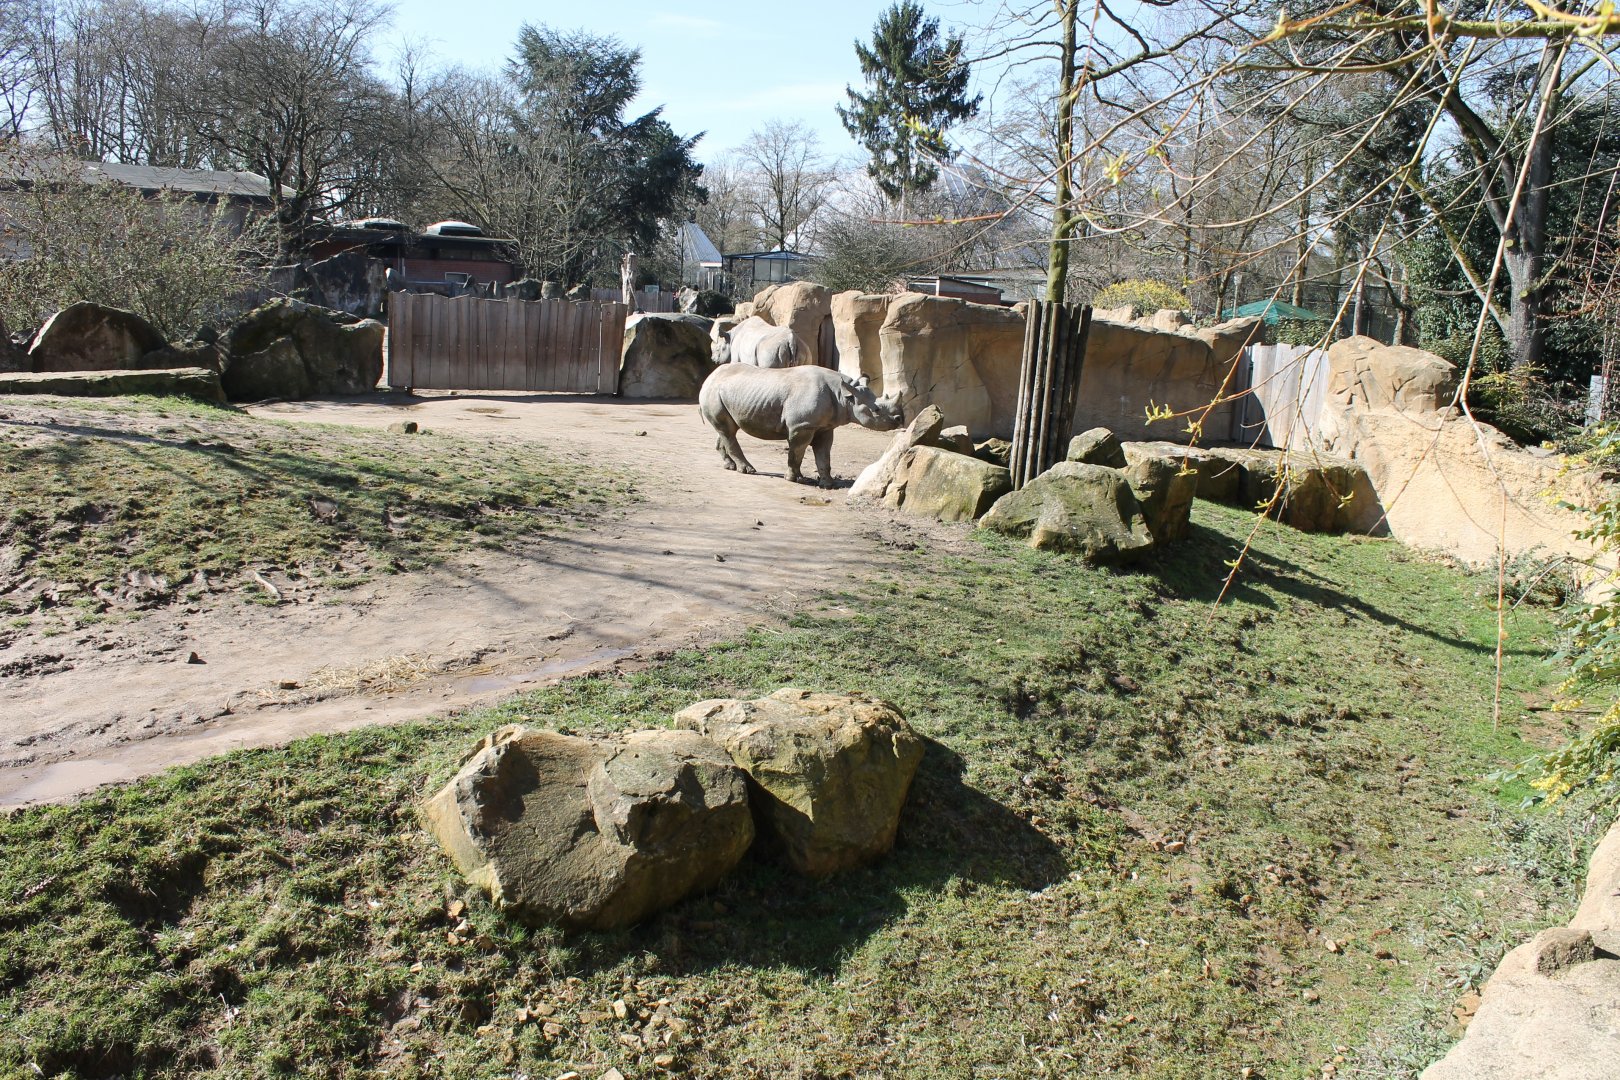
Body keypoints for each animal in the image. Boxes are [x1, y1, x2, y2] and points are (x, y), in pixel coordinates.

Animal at [698, 364, 905, 487]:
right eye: (877, 410)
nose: (900, 419)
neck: (844, 396)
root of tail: (709, 376)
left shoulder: (824, 427)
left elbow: (824, 454)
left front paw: (828, 484)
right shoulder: (802, 425)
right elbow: (796, 452)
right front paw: (794, 479)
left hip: (724, 393)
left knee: (726, 430)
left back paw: (729, 466)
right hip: (713, 392)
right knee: (728, 430)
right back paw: (748, 470)